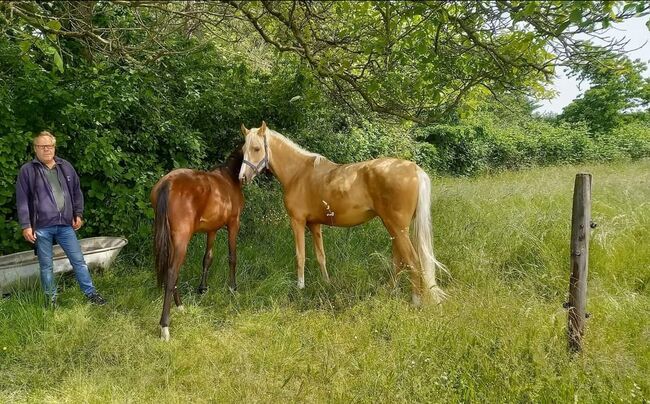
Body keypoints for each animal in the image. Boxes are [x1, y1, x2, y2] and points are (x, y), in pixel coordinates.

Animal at [149, 147, 243, 340]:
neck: (229, 178)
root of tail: (168, 183)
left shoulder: (212, 230)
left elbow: (207, 258)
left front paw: (203, 289)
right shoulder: (233, 224)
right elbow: (232, 257)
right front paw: (232, 289)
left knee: (172, 271)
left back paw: (180, 307)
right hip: (181, 240)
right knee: (172, 273)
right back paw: (165, 326)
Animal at [239, 121, 446, 304]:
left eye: (256, 148)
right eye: (243, 149)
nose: (242, 178)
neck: (298, 174)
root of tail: (415, 169)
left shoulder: (297, 221)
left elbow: (300, 256)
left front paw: (300, 288)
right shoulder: (314, 224)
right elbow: (320, 256)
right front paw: (326, 283)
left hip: (397, 227)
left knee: (412, 261)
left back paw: (416, 300)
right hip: (395, 228)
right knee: (398, 261)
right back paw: (389, 291)